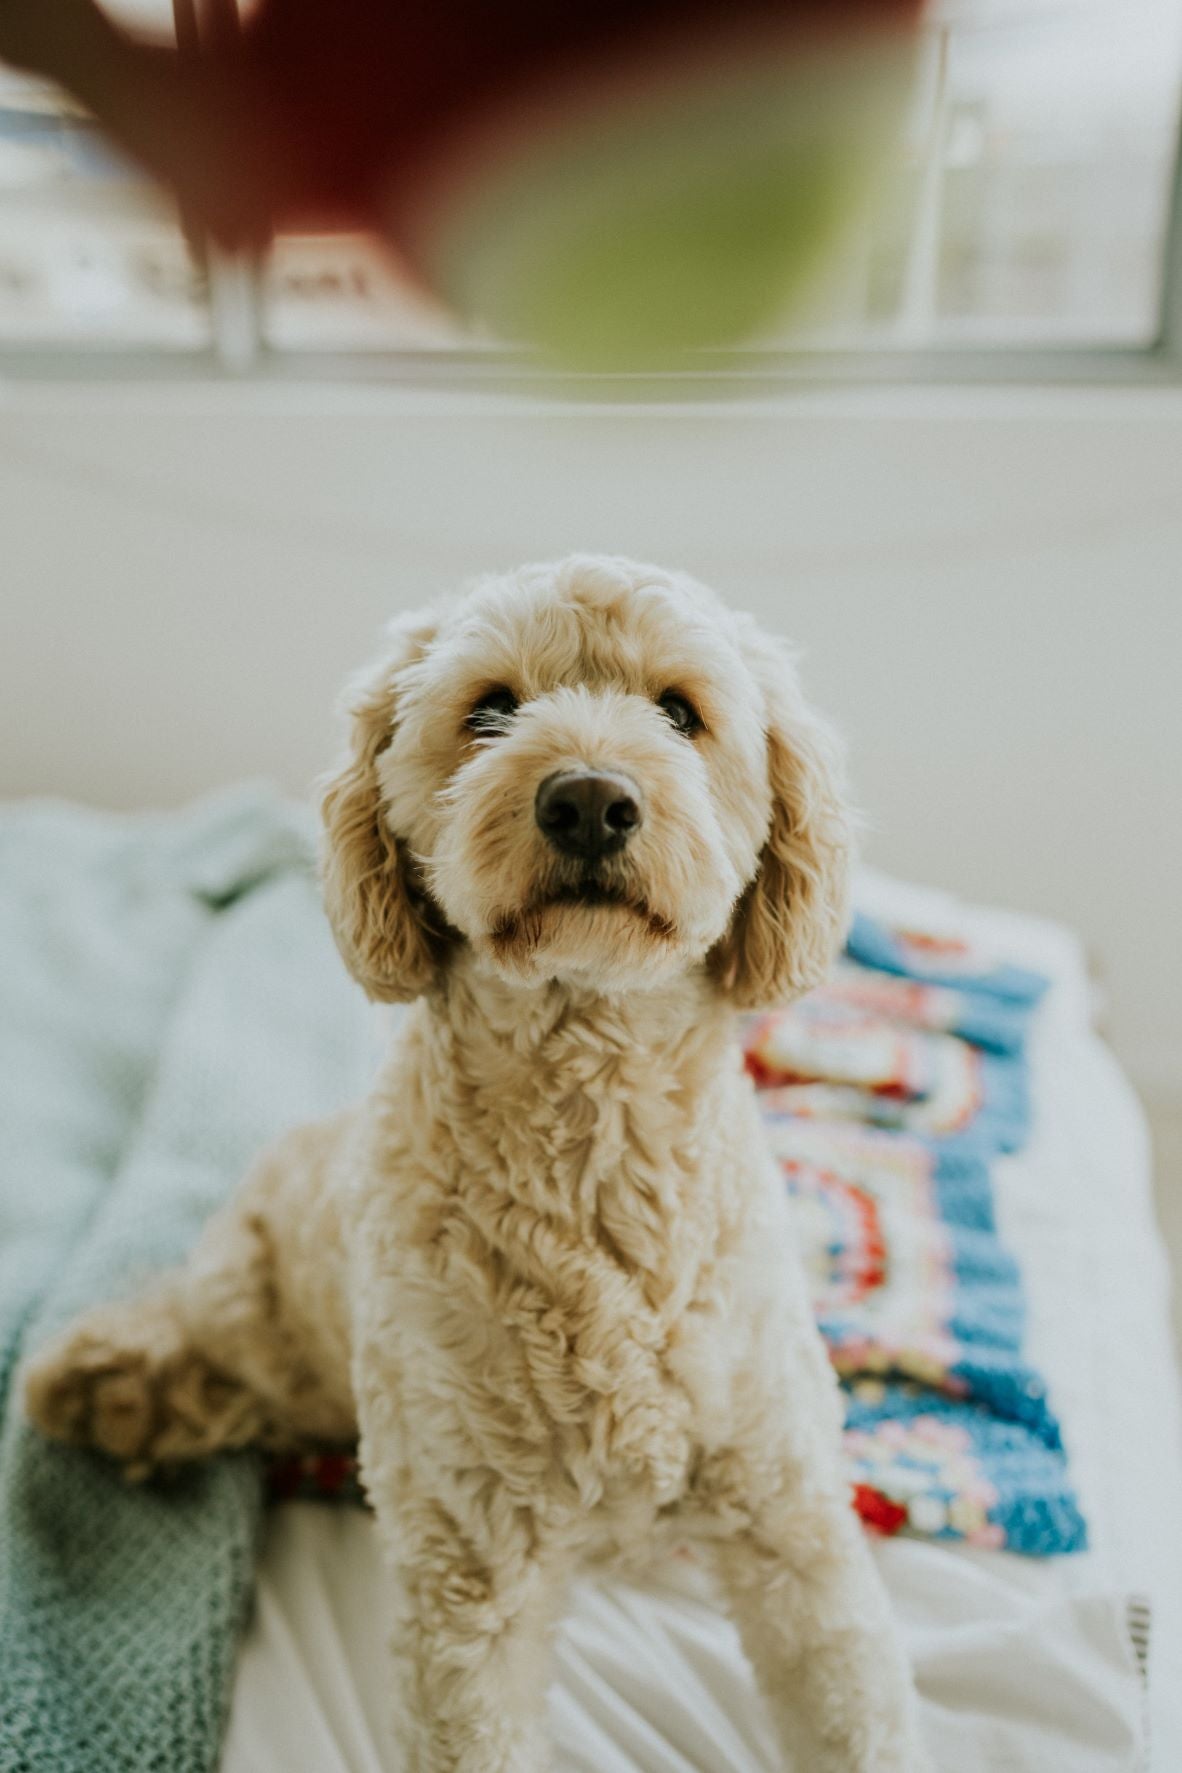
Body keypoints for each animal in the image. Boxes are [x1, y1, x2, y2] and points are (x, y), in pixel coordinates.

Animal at [23, 556, 935, 1773]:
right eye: (491, 708)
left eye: (680, 712)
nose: (588, 799)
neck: (595, 1132)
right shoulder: (473, 1576)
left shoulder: (791, 1526)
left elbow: (854, 1709)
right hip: (265, 1308)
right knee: (205, 1337)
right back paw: (111, 1383)